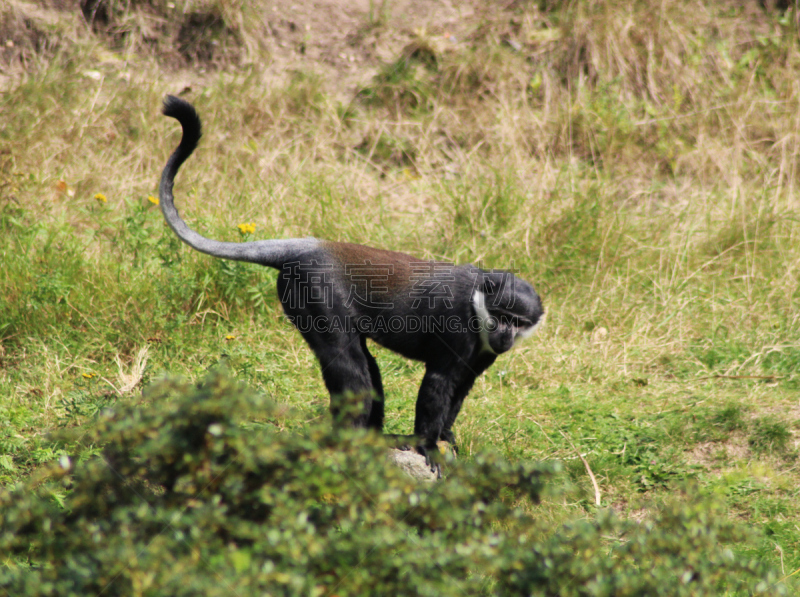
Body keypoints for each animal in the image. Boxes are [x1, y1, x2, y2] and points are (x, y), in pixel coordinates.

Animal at [157, 96, 544, 470]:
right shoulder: (458, 331)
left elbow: (461, 388)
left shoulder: (482, 354)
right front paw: (429, 446)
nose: (505, 335)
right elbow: (438, 384)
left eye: (518, 322)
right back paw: (353, 440)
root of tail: (312, 246)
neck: (479, 302)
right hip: (314, 298)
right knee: (352, 370)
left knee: (367, 369)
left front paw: (446, 436)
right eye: (501, 316)